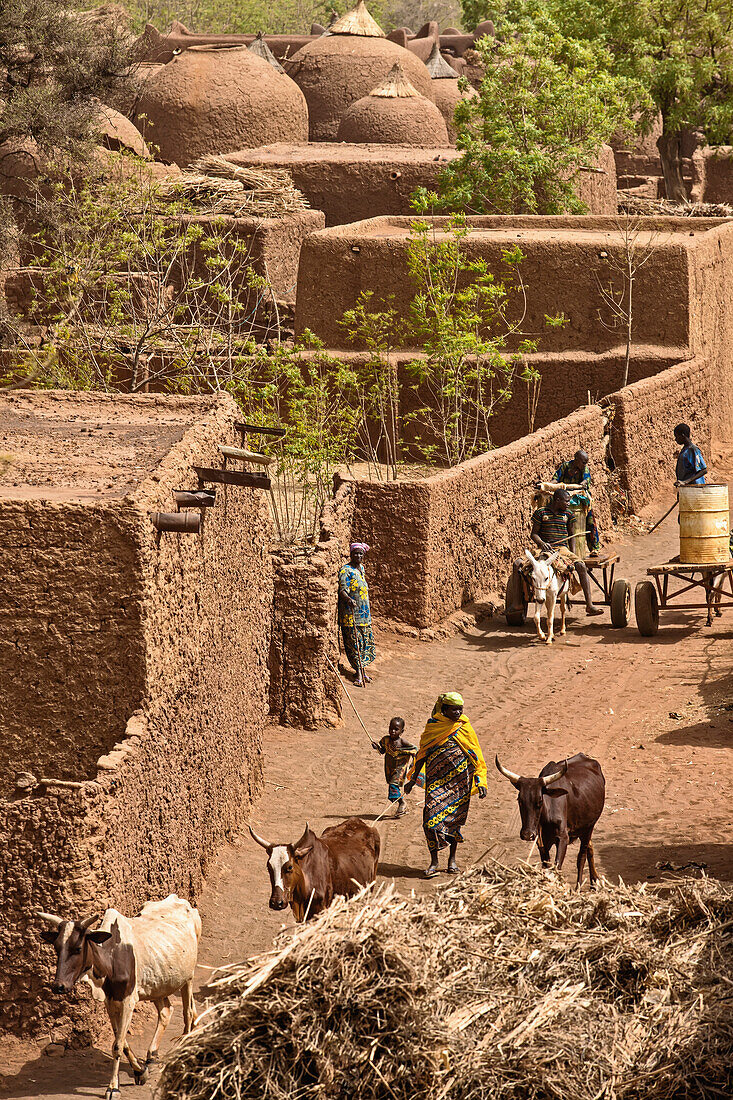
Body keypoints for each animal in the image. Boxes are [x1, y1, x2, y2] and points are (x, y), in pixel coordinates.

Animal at [38, 897, 200, 1095]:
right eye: (56, 947)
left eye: (78, 948)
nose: (59, 986)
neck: (111, 958)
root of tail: (182, 901)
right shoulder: (111, 1001)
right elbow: (121, 1041)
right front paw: (140, 1070)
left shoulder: (128, 1001)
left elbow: (117, 1045)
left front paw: (113, 1087)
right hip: (159, 983)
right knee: (166, 1011)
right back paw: (152, 1055)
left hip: (188, 977)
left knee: (188, 1013)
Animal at [490, 752, 603, 888]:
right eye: (520, 800)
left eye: (539, 801)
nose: (527, 834)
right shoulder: (542, 842)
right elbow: (547, 866)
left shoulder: (563, 838)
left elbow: (557, 866)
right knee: (589, 849)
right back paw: (594, 880)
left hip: (589, 827)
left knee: (581, 856)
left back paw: (579, 887)